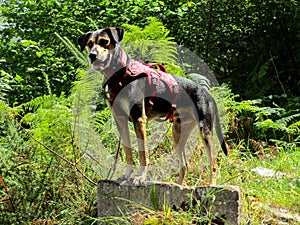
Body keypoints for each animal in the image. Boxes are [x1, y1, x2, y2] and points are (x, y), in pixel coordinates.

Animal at [77, 27, 227, 185]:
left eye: (104, 41)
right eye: (89, 44)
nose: (92, 55)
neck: (120, 75)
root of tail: (206, 92)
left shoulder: (139, 119)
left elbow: (143, 154)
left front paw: (140, 177)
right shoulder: (120, 120)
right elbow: (128, 152)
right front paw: (127, 175)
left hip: (205, 130)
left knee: (213, 164)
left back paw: (211, 185)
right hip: (177, 134)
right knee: (184, 165)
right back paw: (179, 186)